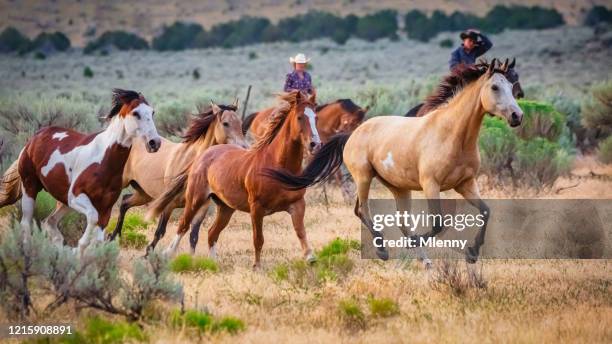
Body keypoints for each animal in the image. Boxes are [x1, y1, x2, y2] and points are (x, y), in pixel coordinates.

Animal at [18, 88, 163, 254]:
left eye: (152, 112)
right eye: (136, 113)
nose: (155, 143)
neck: (104, 160)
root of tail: (36, 136)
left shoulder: (106, 208)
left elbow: (98, 239)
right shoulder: (76, 197)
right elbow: (92, 219)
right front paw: (79, 248)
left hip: (63, 201)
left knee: (50, 222)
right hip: (30, 187)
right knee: (26, 223)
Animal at [106, 99, 247, 253]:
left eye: (240, 123)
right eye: (225, 123)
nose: (244, 147)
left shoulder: (201, 208)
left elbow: (193, 236)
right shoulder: (169, 204)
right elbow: (160, 232)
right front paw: (149, 253)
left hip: (144, 194)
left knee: (125, 202)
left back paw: (114, 236)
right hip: (123, 184)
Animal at [148, 90, 320, 268]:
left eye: (316, 117)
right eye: (300, 117)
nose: (315, 144)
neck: (276, 166)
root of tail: (203, 155)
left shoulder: (297, 204)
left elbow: (300, 231)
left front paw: (310, 257)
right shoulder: (256, 208)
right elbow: (258, 239)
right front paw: (257, 267)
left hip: (226, 208)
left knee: (212, 233)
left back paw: (213, 264)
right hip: (196, 199)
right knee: (183, 225)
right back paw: (167, 254)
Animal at [266, 59, 524, 268]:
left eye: (512, 86)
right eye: (495, 87)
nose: (517, 116)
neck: (453, 134)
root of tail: (353, 133)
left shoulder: (466, 183)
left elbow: (485, 211)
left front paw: (472, 252)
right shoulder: (431, 184)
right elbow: (439, 224)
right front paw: (424, 244)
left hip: (398, 187)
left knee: (401, 222)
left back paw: (424, 259)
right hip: (364, 177)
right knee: (362, 209)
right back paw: (383, 249)